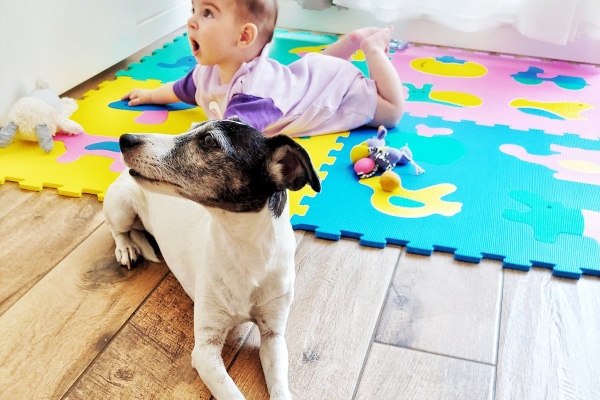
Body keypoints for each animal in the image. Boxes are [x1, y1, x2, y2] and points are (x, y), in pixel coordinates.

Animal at [103, 117, 322, 398]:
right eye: (191, 128)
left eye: (208, 141)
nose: (125, 139)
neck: (245, 253)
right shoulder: (206, 350)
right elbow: (232, 393)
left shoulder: (274, 336)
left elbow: (281, 388)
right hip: (121, 208)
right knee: (116, 229)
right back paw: (126, 248)